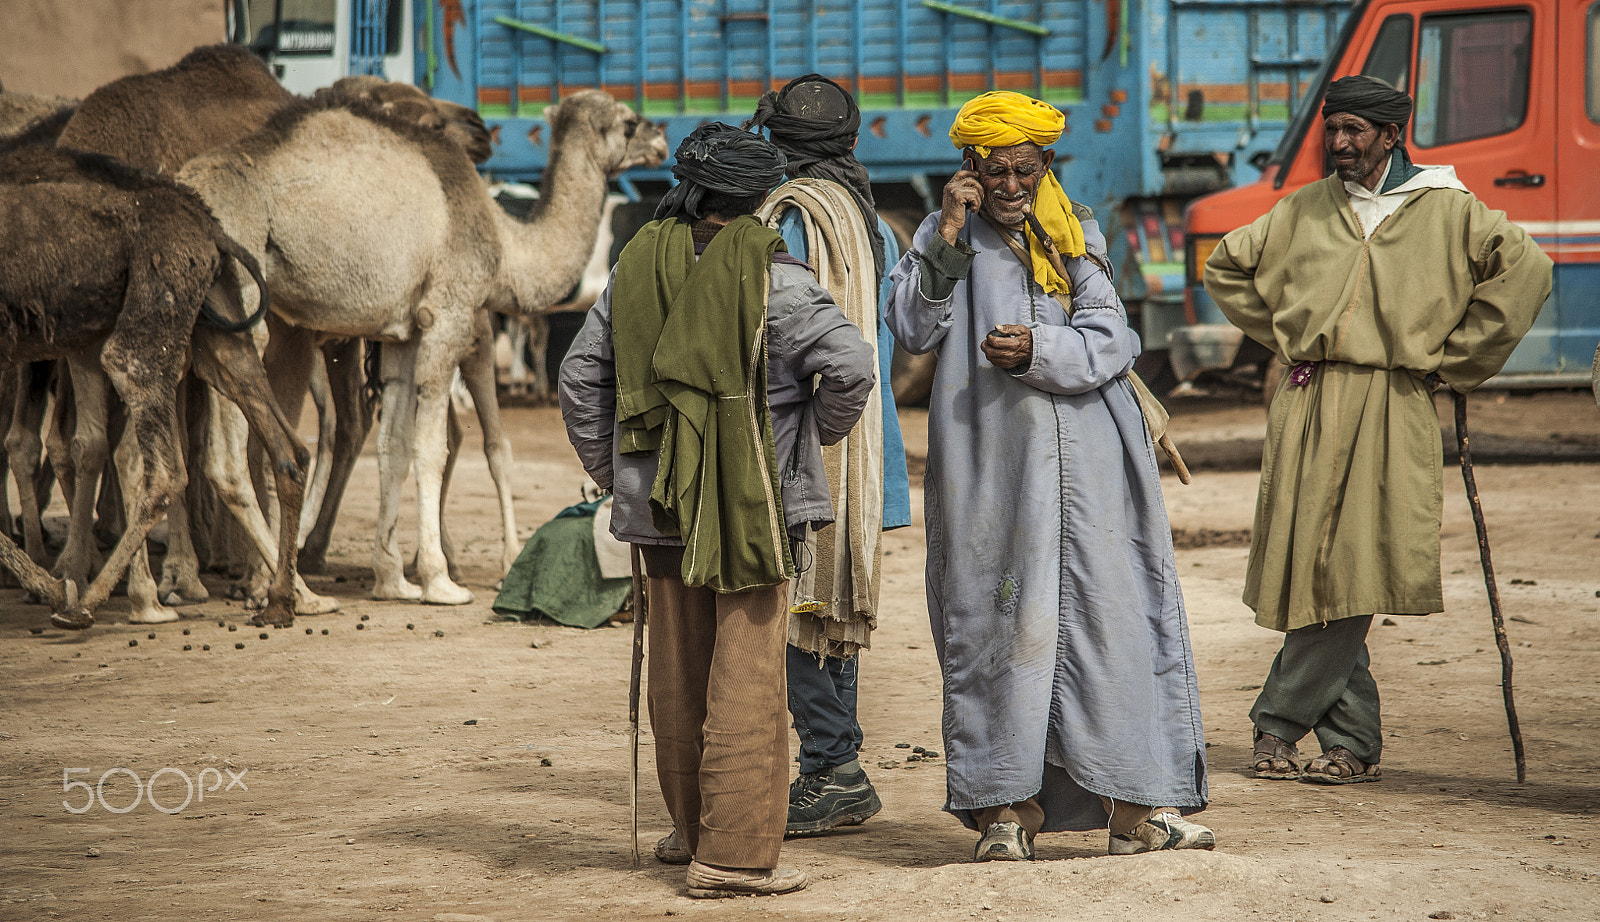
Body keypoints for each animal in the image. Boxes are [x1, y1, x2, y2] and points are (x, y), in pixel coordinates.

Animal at [0, 129, 310, 630]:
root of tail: (211, 228)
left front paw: (60, 584)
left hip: (146, 318)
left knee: (161, 463)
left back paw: (89, 601)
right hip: (211, 326)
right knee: (289, 448)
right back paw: (279, 601)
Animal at [181, 90, 662, 601]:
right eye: (628, 122)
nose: (659, 137)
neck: (504, 241)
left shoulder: (405, 336)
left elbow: (394, 447)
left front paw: (393, 579)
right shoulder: (448, 315)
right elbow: (431, 448)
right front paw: (438, 579)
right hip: (245, 287)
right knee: (232, 454)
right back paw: (291, 590)